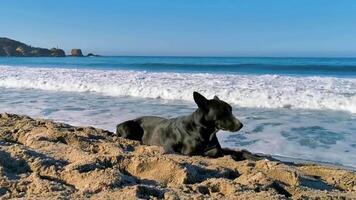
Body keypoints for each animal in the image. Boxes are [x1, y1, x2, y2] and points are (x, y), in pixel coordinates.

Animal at [115, 91, 243, 157]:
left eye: (231, 110)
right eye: (223, 112)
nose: (241, 125)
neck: (204, 130)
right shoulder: (174, 149)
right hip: (128, 127)